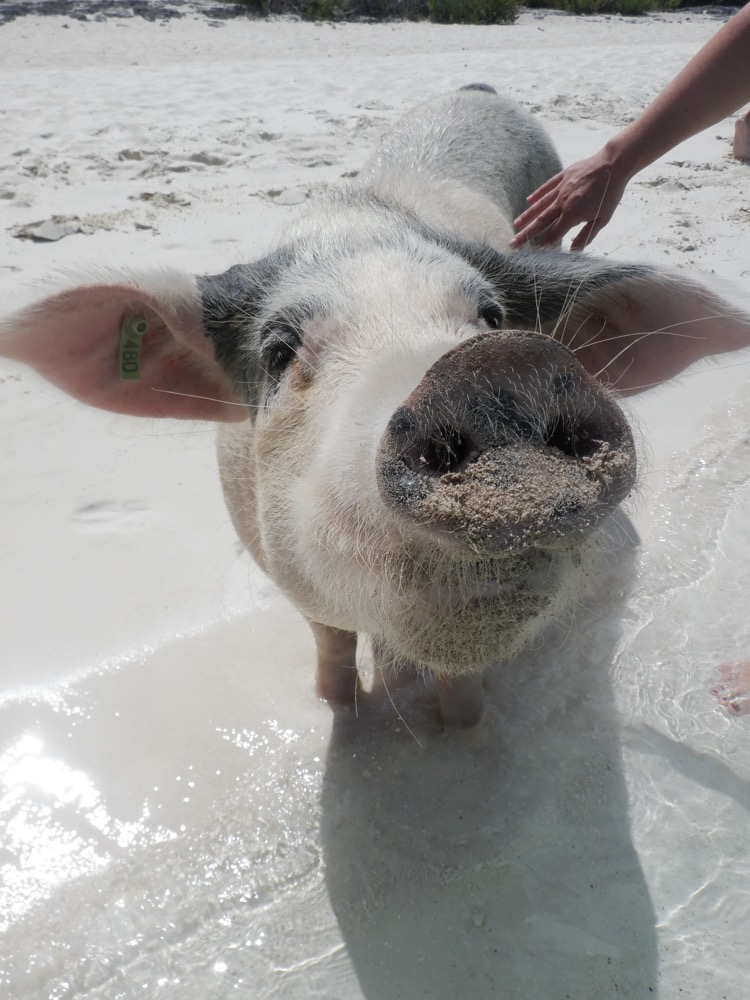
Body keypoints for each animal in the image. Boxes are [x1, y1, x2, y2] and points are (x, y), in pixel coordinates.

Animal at [3, 86, 750, 728]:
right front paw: (336, 708)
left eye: (491, 316)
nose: (496, 365)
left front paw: (463, 730)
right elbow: (331, 641)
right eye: (278, 351)